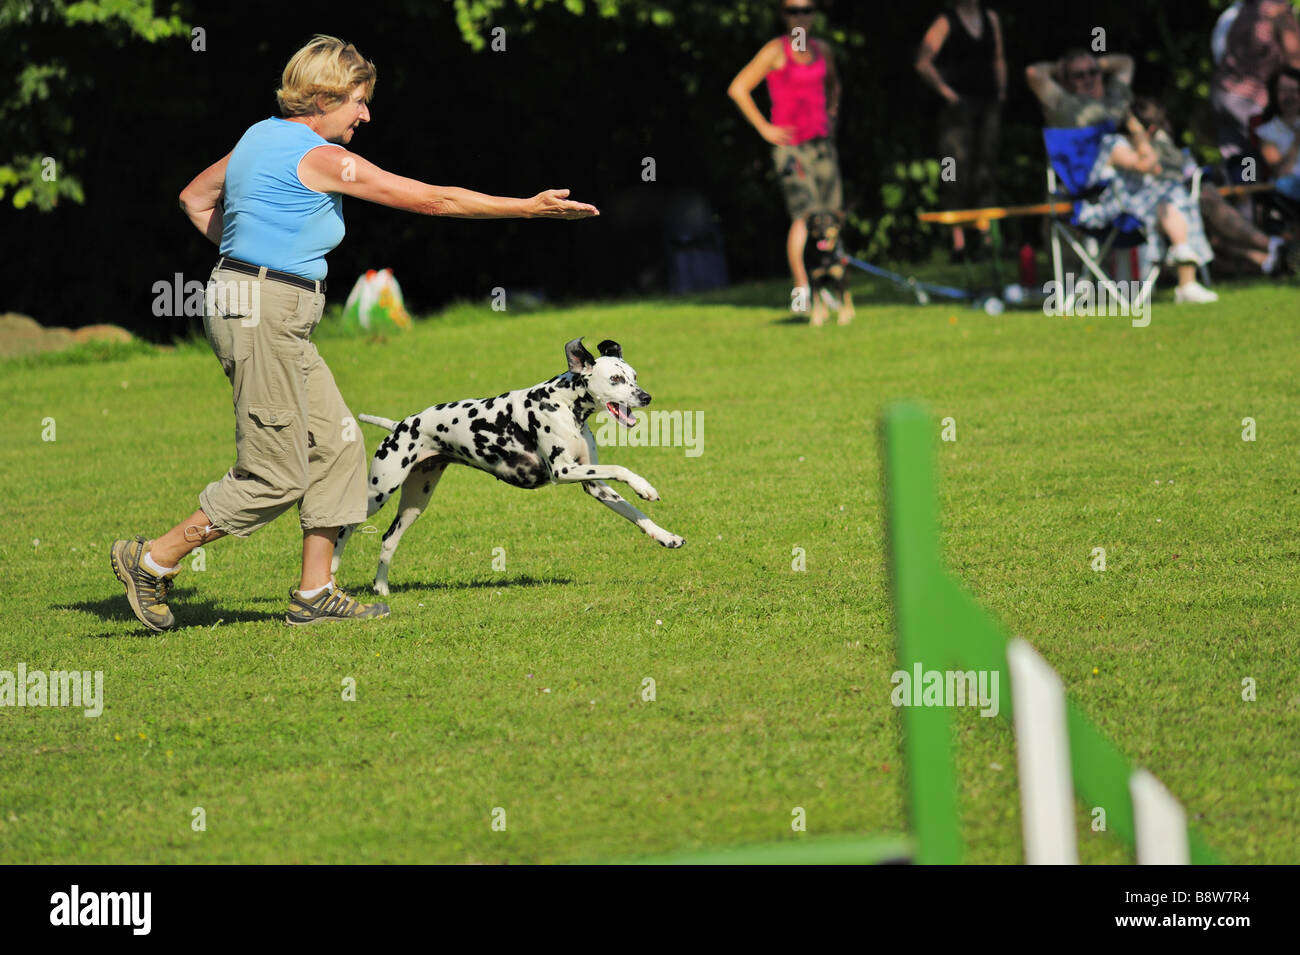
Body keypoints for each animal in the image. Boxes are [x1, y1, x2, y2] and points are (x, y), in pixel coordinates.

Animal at [330, 335, 686, 589]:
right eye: (615, 379)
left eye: (634, 376)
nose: (646, 397)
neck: (562, 402)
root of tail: (400, 425)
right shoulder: (564, 470)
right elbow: (620, 469)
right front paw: (644, 486)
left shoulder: (594, 484)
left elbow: (635, 513)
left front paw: (665, 536)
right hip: (377, 493)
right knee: (343, 528)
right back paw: (331, 575)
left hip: (415, 502)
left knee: (388, 540)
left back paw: (381, 588)